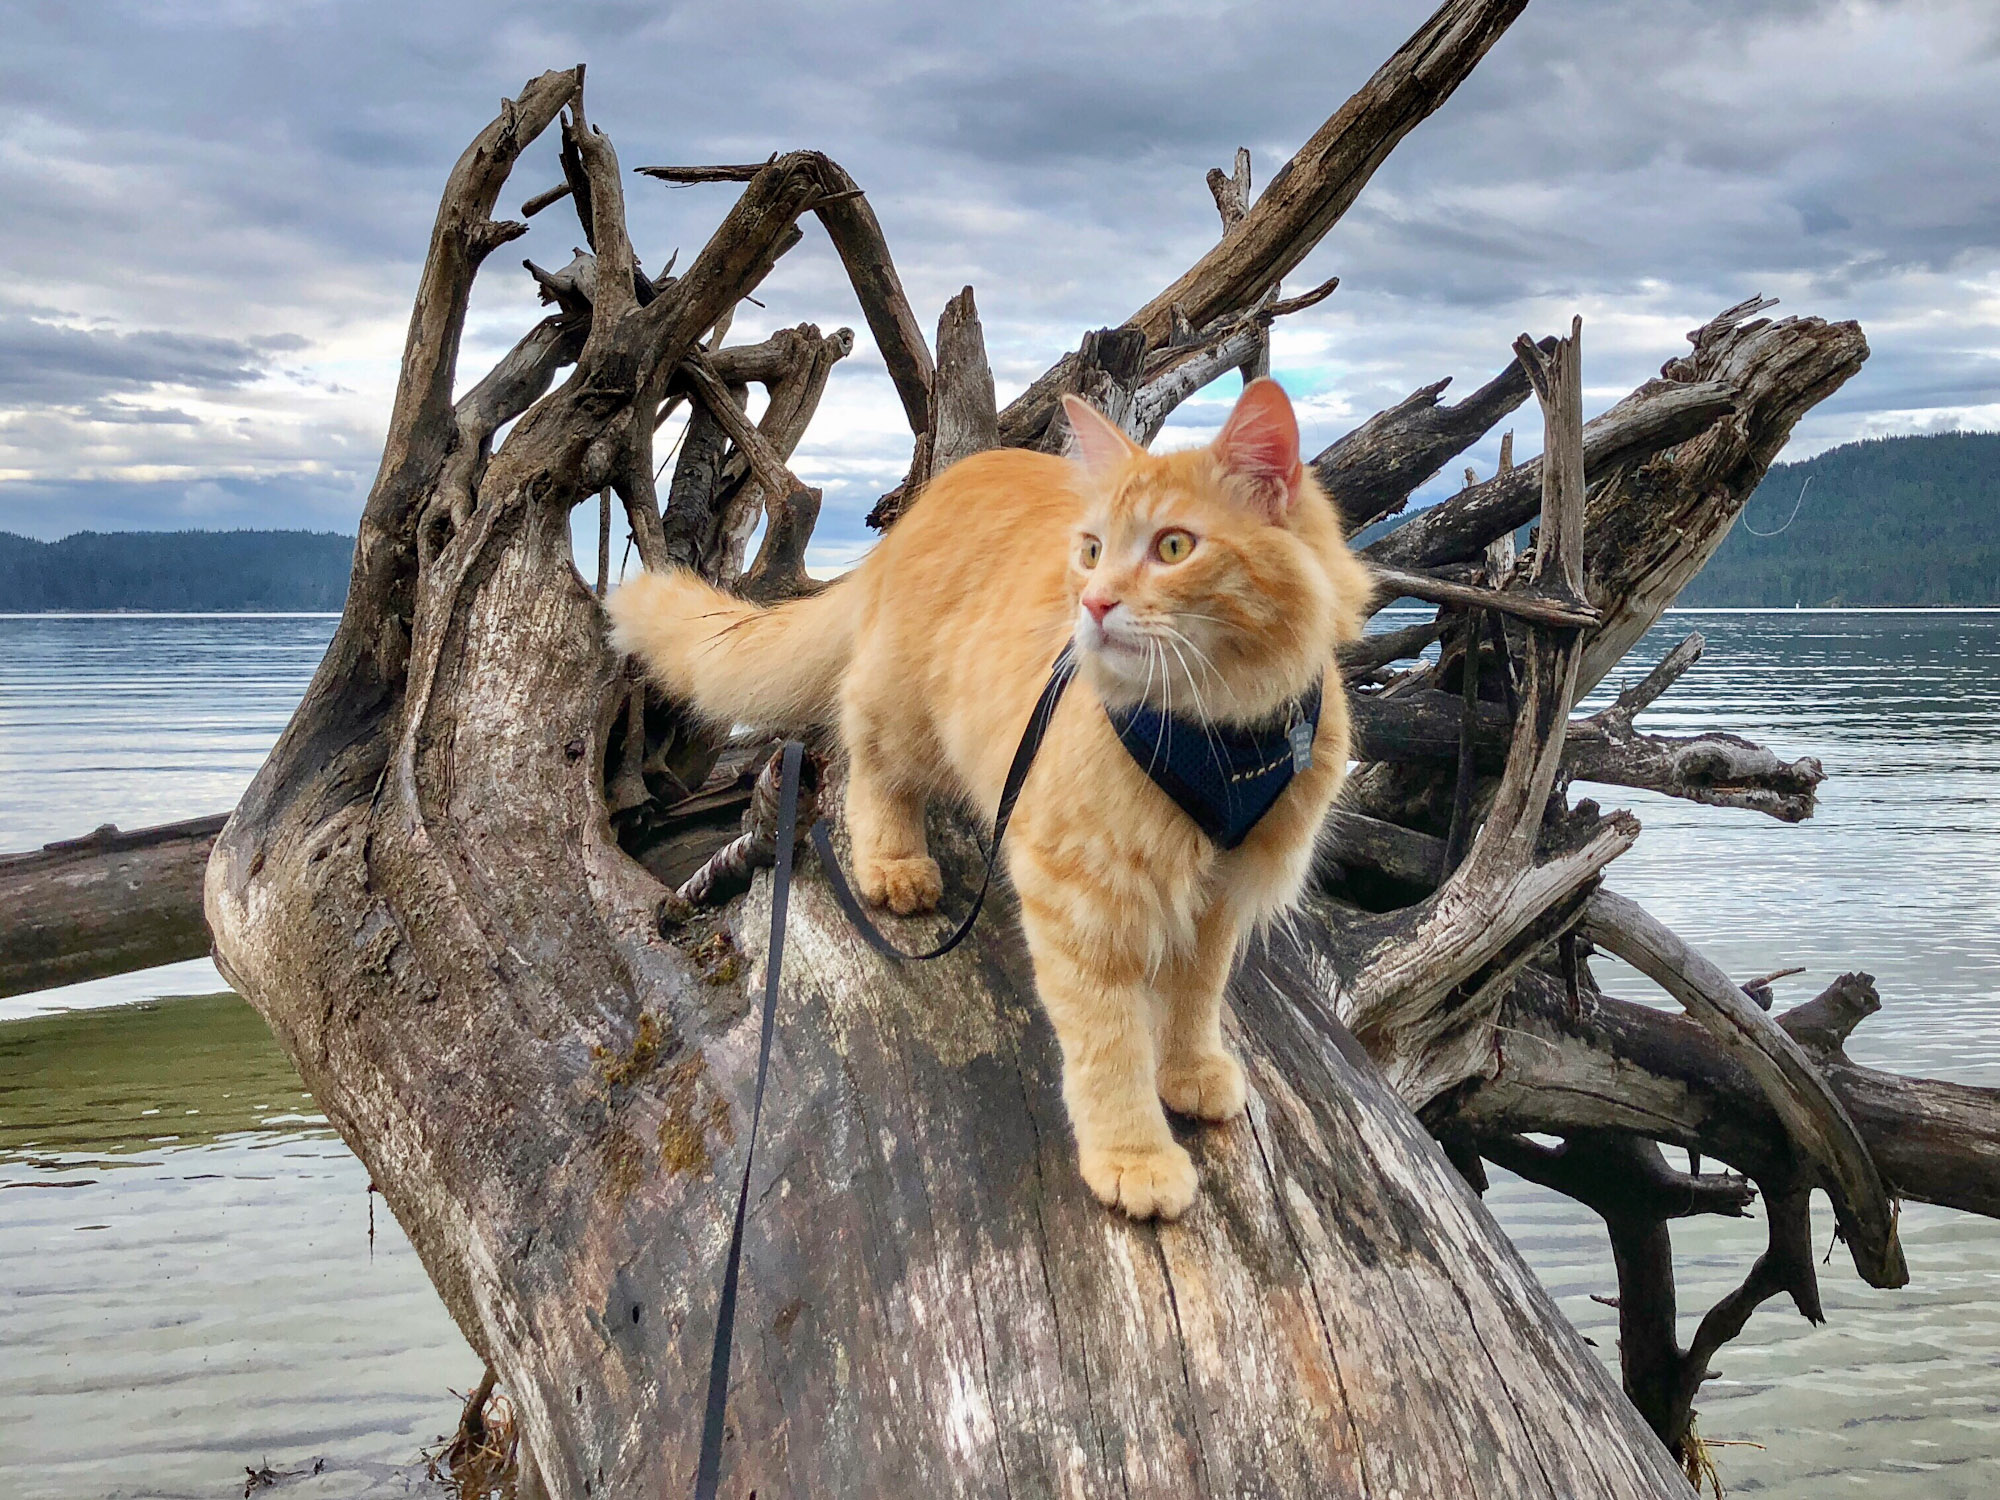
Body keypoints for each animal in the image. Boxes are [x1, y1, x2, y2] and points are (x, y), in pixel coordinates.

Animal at [608, 376, 1376, 1224]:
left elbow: (1194, 997)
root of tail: (932, 497)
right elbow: (1109, 1041)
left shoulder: (1221, 892)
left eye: (1174, 547)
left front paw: (1191, 1071)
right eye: (1092, 551)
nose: (1094, 604)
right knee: (867, 768)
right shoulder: (1081, 894)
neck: (1218, 733)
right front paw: (1134, 1157)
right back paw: (895, 867)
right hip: (905, 714)